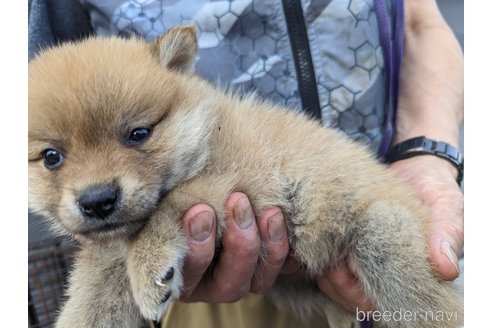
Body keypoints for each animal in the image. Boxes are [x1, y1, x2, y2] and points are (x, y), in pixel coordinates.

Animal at [28, 26, 462, 328]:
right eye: (52, 157)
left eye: (138, 134)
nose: (97, 200)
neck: (206, 134)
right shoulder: (106, 262)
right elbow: (89, 304)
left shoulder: (234, 184)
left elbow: (166, 207)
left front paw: (150, 267)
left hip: (383, 234)